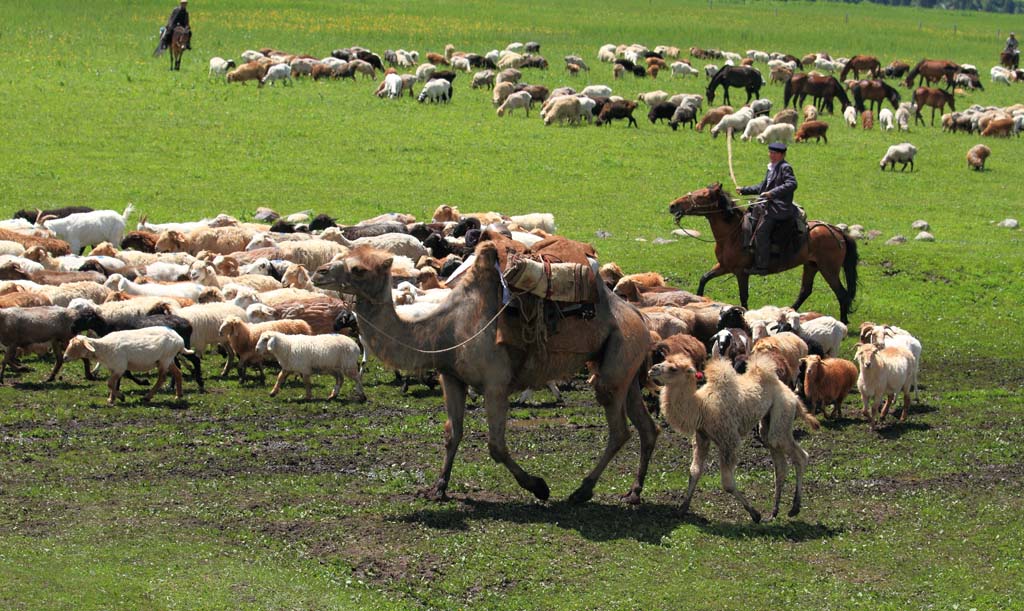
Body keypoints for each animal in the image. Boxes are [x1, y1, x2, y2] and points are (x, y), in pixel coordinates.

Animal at [62, 329, 195, 405]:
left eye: (76, 346)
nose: (64, 357)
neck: (103, 349)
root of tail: (180, 340)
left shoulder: (120, 367)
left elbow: (109, 383)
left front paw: (121, 397)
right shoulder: (114, 368)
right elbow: (113, 384)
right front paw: (111, 399)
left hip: (164, 359)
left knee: (162, 378)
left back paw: (147, 397)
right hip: (168, 359)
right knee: (177, 373)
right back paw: (178, 395)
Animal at [311, 242, 659, 505]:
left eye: (359, 269)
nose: (319, 272)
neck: (444, 329)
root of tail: (639, 316)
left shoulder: (495, 384)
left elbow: (495, 445)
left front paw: (539, 487)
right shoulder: (451, 377)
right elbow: (453, 434)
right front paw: (438, 488)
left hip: (617, 360)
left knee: (619, 429)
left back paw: (582, 491)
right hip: (625, 368)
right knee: (647, 427)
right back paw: (633, 493)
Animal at [667, 182, 860, 323]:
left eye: (702, 196)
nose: (672, 205)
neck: (734, 233)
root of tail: (838, 231)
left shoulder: (741, 272)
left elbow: (743, 296)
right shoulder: (724, 266)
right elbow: (704, 278)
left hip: (829, 269)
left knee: (842, 294)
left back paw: (843, 321)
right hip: (811, 265)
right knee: (805, 290)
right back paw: (789, 311)